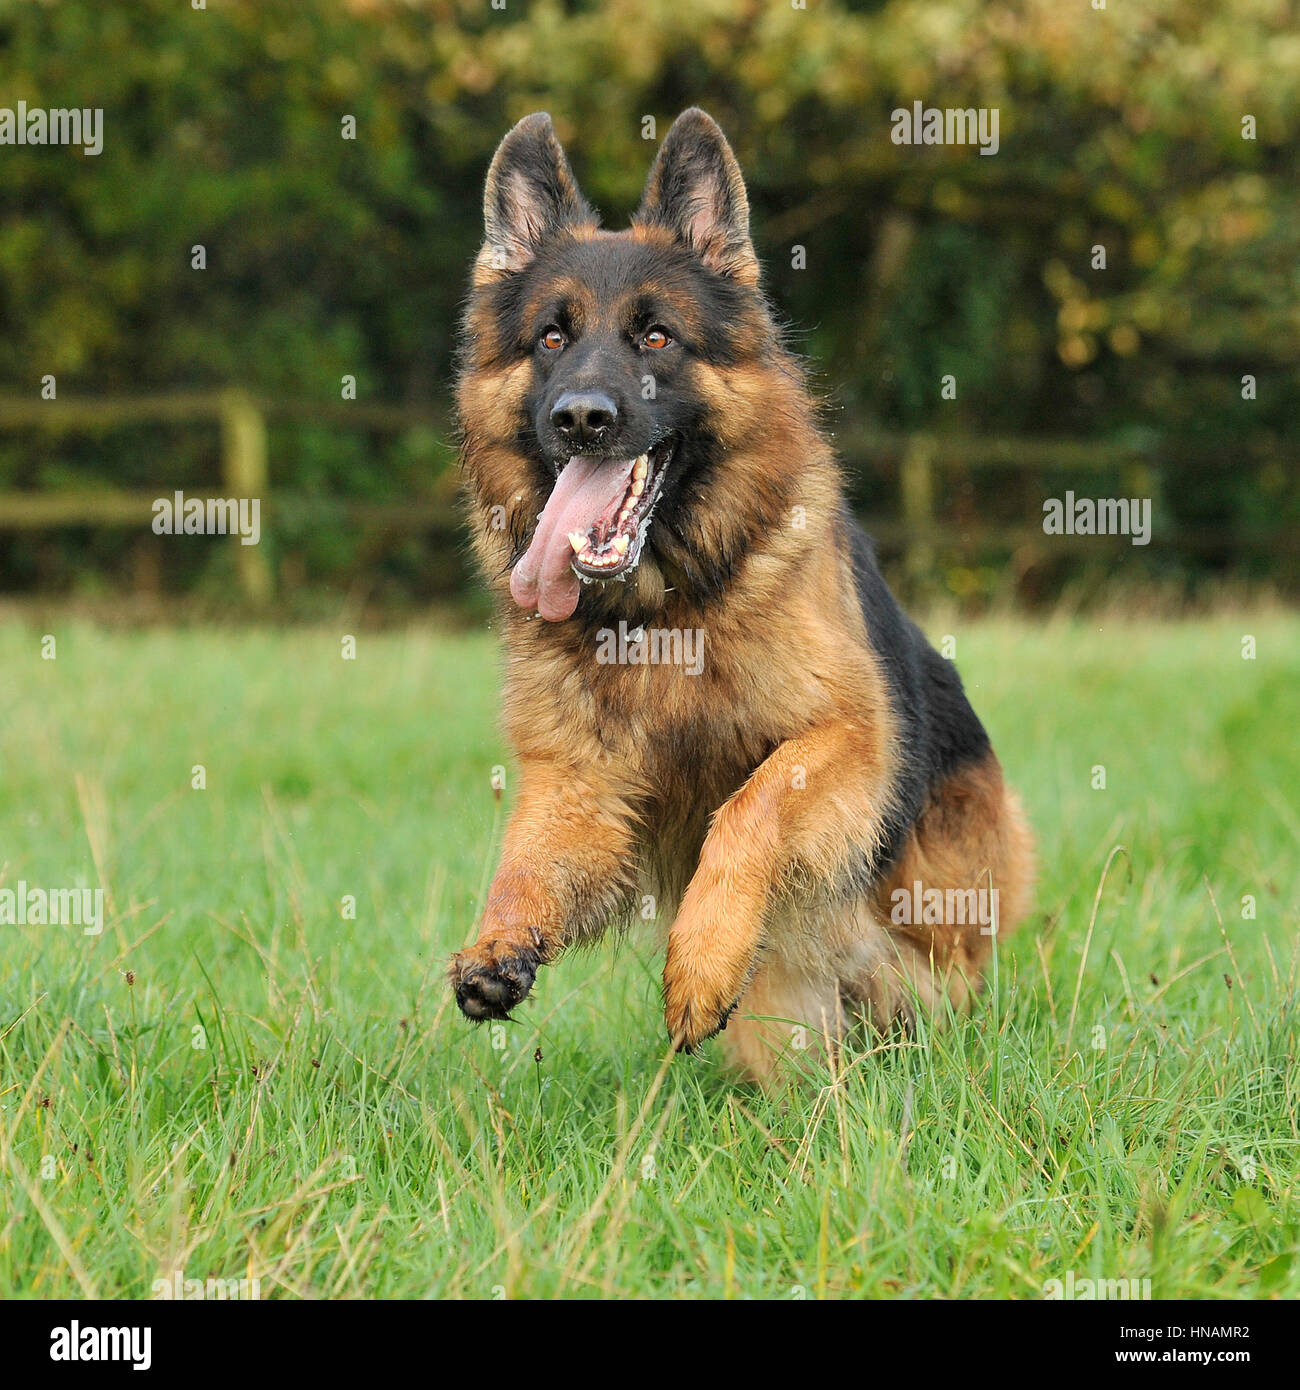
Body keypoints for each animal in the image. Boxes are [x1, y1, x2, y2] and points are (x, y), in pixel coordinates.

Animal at [453, 108, 1034, 1084]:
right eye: (550, 339)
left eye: (656, 337)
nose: (581, 417)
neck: (661, 614)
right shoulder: (581, 782)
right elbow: (528, 858)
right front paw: (499, 940)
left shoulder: (848, 737)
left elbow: (748, 808)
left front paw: (701, 960)